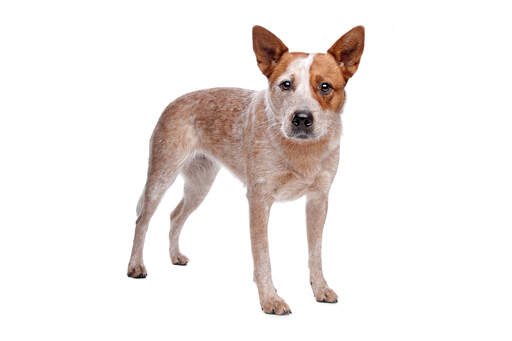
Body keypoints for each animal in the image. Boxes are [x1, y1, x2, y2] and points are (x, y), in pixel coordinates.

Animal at [127, 24, 364, 314]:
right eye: (286, 85)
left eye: (325, 86)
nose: (301, 118)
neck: (300, 151)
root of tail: (173, 102)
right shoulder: (259, 199)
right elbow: (262, 255)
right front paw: (271, 299)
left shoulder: (319, 199)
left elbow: (315, 253)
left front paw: (320, 289)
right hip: (162, 174)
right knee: (142, 220)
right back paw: (135, 266)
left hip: (200, 184)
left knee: (175, 215)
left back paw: (175, 256)